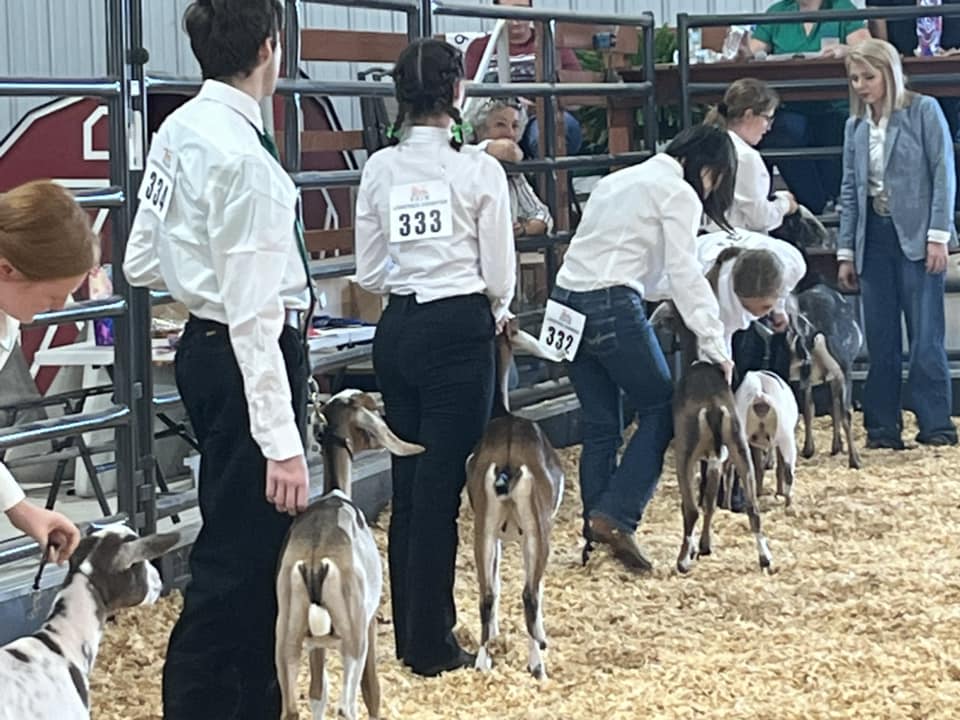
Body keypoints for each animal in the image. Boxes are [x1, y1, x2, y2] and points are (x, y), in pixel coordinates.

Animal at [275, 389, 424, 720]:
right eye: (368, 403)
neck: (336, 492)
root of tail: (314, 563)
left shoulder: (316, 647)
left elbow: (317, 693)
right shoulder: (368, 624)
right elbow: (372, 691)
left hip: (286, 639)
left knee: (291, 709)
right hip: (353, 640)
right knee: (346, 706)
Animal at [465, 318, 564, 680]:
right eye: (521, 334)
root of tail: (507, 461)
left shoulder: (496, 534)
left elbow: (494, 583)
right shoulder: (529, 533)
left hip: (483, 527)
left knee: (485, 593)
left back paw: (482, 663)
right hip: (537, 529)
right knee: (529, 594)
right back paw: (538, 665)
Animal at [672, 362, 772, 573]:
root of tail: (713, 407)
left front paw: (696, 549)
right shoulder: (715, 461)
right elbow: (710, 503)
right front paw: (705, 546)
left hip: (685, 454)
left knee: (691, 510)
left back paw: (682, 562)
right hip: (739, 447)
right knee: (753, 506)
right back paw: (765, 558)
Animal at [735, 370, 800, 507]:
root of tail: (760, 394)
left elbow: (759, 468)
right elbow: (779, 468)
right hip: (786, 437)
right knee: (788, 472)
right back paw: (788, 502)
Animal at [786, 284, 863, 469]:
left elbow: (810, 408)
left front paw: (811, 449)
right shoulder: (836, 375)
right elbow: (835, 406)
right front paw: (838, 446)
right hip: (844, 366)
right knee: (846, 412)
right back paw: (855, 460)